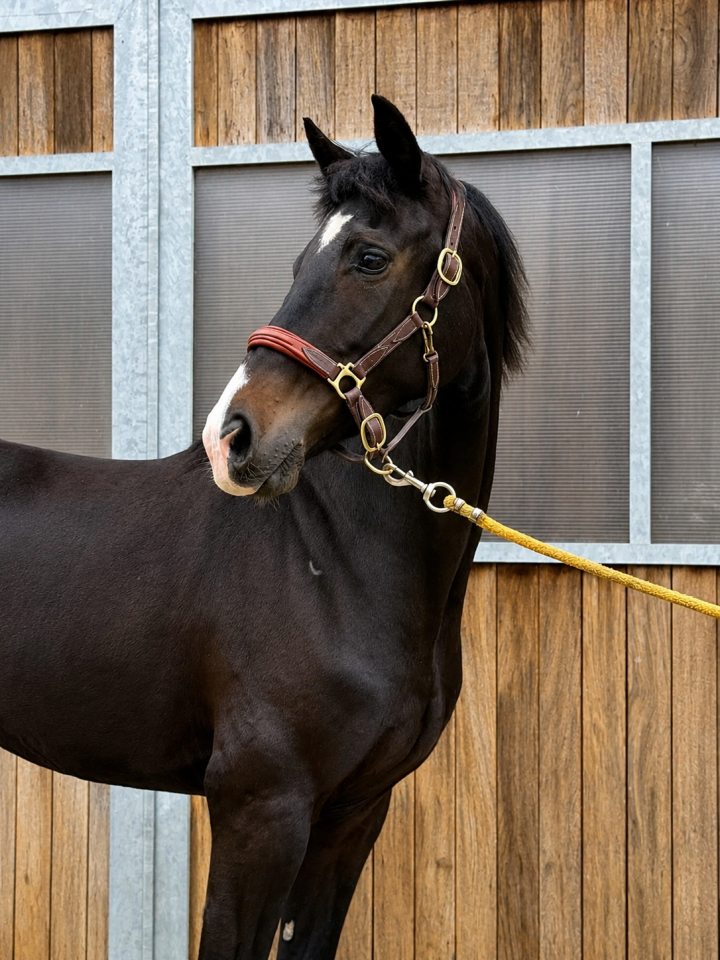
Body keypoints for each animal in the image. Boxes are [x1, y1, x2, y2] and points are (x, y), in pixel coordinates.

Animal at [0, 95, 527, 959]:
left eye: (369, 258)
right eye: (300, 263)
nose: (232, 436)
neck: (335, 566)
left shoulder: (354, 816)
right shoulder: (260, 813)